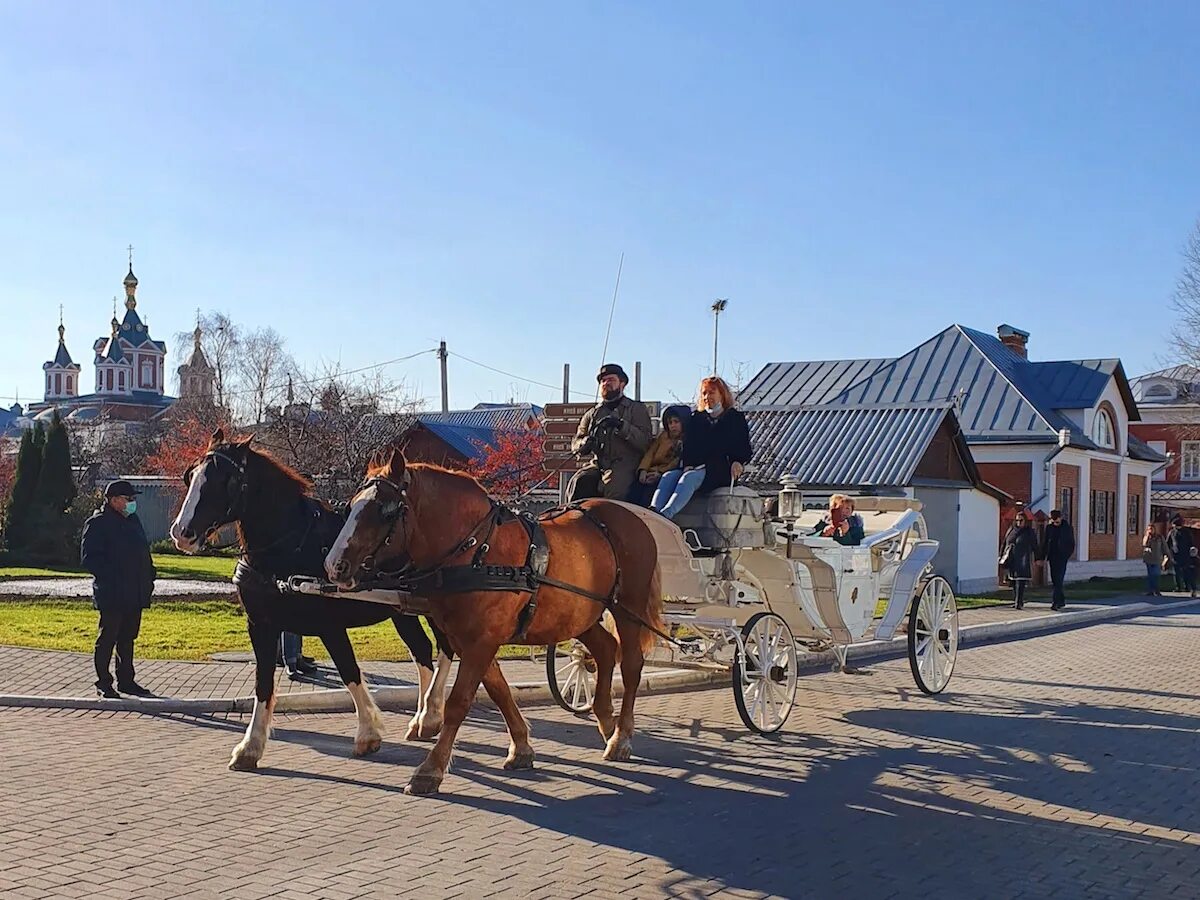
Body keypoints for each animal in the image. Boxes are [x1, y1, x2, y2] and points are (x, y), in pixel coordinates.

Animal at [324, 451, 667, 796]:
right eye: (351, 506)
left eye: (384, 510)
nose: (334, 565)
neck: (476, 550)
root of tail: (632, 518)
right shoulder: (470, 640)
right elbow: (499, 691)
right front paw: (521, 747)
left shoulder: (481, 641)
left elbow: (459, 702)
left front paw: (430, 769)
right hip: (581, 614)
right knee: (606, 649)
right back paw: (607, 722)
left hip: (627, 608)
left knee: (631, 665)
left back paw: (621, 736)